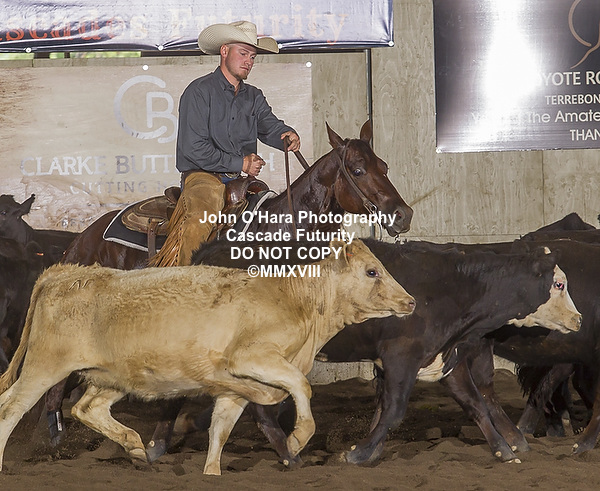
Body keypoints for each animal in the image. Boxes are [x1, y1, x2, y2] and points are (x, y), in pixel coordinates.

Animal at [0, 239, 415, 475]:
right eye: (372, 271)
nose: (410, 302)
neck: (298, 299)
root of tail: (62, 273)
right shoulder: (251, 356)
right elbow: (299, 386)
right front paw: (297, 439)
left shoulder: (233, 390)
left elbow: (222, 428)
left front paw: (212, 473)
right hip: (43, 366)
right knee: (11, 408)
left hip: (112, 376)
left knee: (88, 408)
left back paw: (135, 447)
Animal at [45, 120, 414, 453]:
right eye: (358, 169)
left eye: (384, 166)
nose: (402, 214)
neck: (275, 235)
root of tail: (83, 238)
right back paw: (54, 431)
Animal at [186, 238, 581, 466]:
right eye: (559, 284)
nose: (578, 320)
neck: (456, 287)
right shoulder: (401, 357)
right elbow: (393, 410)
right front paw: (359, 453)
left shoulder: (442, 358)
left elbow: (474, 403)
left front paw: (503, 449)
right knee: (260, 407)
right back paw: (288, 454)